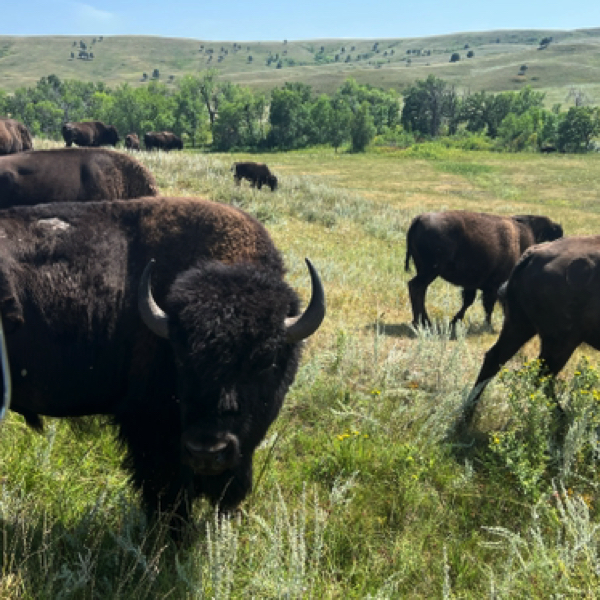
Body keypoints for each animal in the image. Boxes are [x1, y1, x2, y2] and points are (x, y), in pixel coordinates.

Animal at [404, 211, 564, 330]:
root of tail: (419, 218)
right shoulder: (493, 286)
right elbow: (487, 305)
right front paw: (488, 325)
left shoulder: (473, 284)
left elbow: (469, 301)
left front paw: (455, 322)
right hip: (429, 271)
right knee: (416, 287)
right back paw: (422, 322)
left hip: (424, 270)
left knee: (420, 289)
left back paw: (422, 322)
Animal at [466, 234, 600, 426]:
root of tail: (532, 255)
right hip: (562, 341)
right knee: (543, 376)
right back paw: (564, 421)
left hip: (519, 326)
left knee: (494, 359)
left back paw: (466, 417)